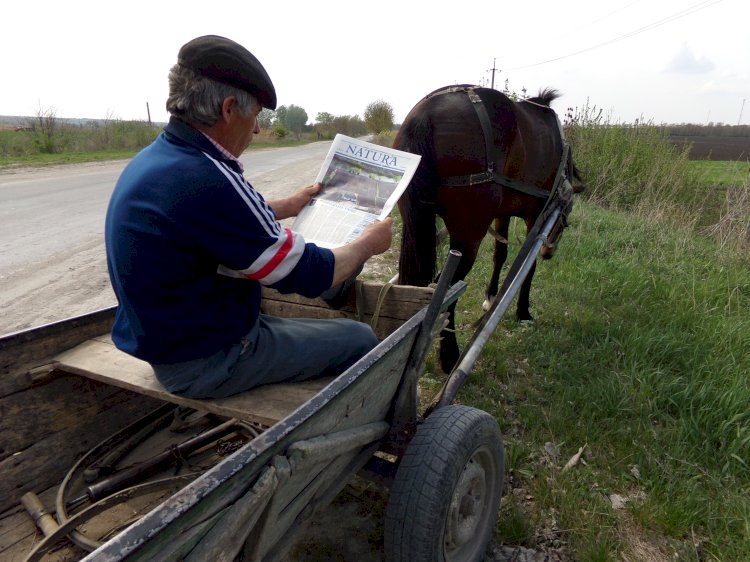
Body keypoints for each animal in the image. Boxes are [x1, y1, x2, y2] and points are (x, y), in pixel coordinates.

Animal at [396, 84, 584, 372]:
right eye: (565, 217)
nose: (549, 253)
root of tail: (426, 115)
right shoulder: (537, 214)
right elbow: (528, 266)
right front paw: (523, 312)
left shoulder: (502, 214)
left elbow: (500, 254)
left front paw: (490, 297)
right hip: (468, 237)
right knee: (444, 288)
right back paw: (450, 355)